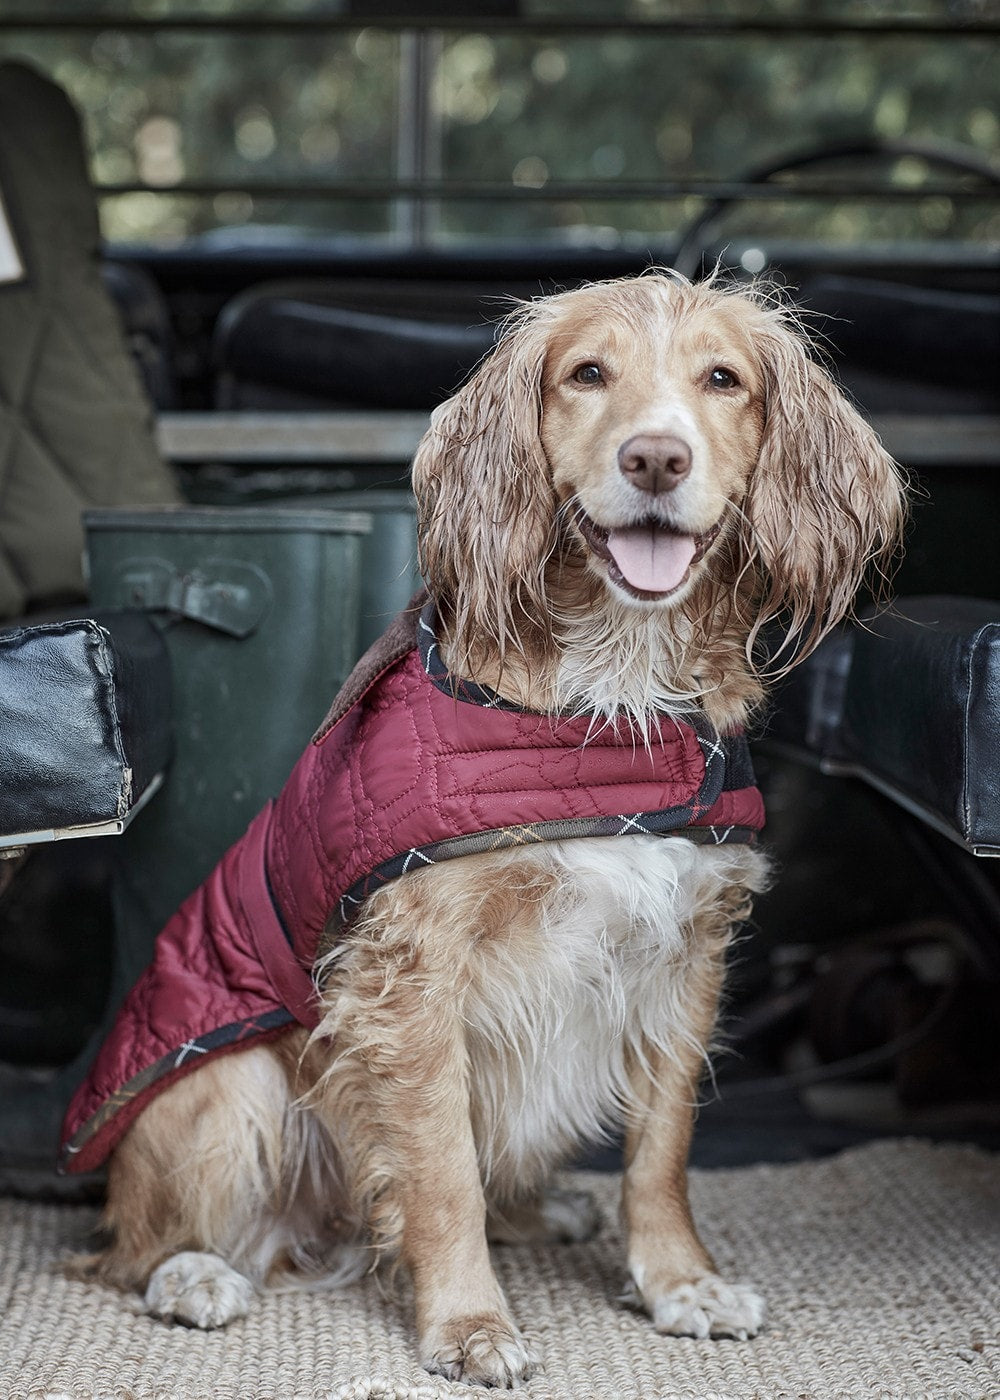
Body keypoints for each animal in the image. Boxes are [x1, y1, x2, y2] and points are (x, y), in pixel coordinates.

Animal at [64, 273, 901, 1388]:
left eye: (723, 379)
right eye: (586, 373)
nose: (655, 457)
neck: (610, 708)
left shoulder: (687, 953)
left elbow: (663, 1148)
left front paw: (677, 1280)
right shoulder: (414, 974)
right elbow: (440, 1168)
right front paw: (467, 1322)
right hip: (231, 1084)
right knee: (132, 1244)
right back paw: (194, 1274)